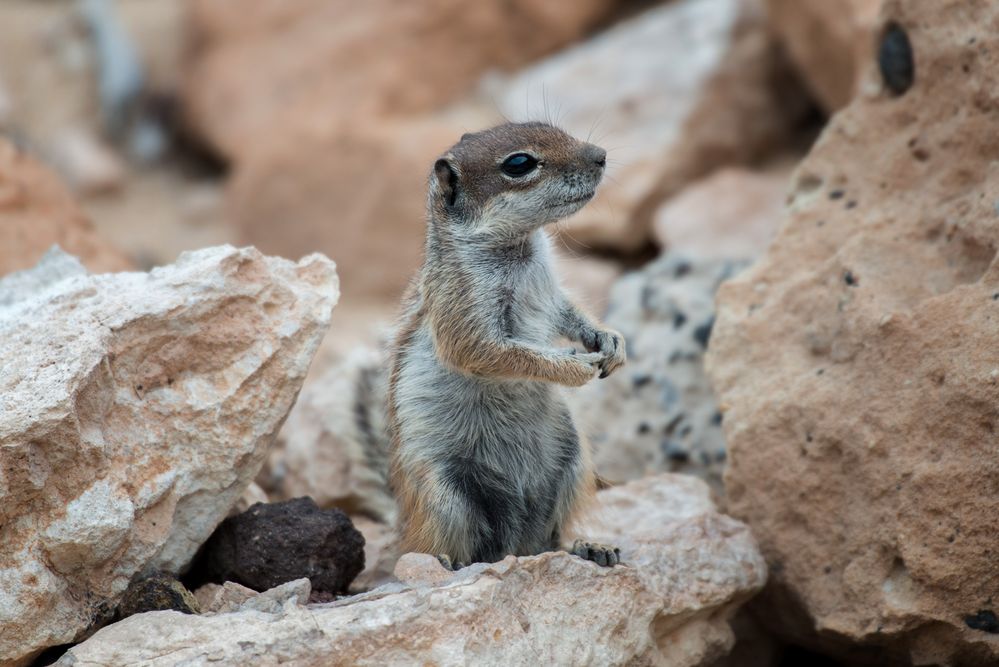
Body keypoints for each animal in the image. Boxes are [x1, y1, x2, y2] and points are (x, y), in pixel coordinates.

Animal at [388, 121, 624, 568]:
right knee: (441, 545)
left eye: (556, 128)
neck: (521, 247)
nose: (601, 155)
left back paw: (591, 548)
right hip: (445, 494)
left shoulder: (552, 290)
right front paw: (572, 365)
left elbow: (569, 313)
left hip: (573, 462)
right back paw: (448, 563)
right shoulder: (461, 305)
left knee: (553, 535)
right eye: (519, 163)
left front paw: (610, 340)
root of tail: (513, 546)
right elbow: (492, 351)